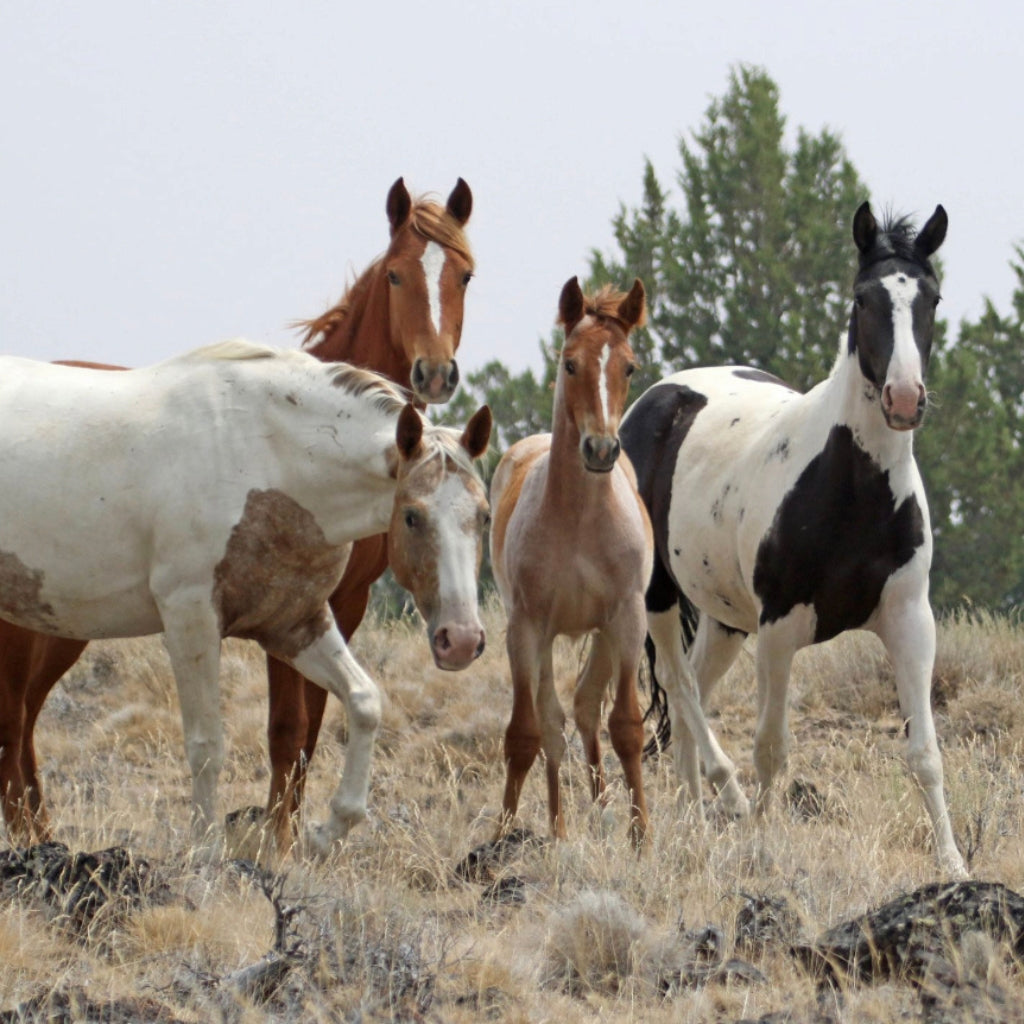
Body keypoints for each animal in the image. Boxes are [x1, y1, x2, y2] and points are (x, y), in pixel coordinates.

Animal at [0, 178, 475, 847]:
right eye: (411, 516)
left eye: (482, 516)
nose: (463, 640)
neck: (268, 455)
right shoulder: (191, 619)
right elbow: (210, 744)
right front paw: (207, 851)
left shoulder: (297, 620)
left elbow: (357, 705)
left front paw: (327, 829)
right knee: (12, 725)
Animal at [489, 276, 651, 843]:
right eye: (570, 363)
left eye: (629, 366)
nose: (600, 449)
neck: (580, 521)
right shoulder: (526, 627)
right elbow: (525, 734)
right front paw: (501, 838)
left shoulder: (627, 617)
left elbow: (625, 726)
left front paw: (641, 839)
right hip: (543, 640)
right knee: (554, 721)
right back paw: (560, 828)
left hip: (604, 634)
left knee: (582, 706)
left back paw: (601, 811)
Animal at [614, 203, 966, 876]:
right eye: (862, 298)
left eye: (932, 298)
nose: (904, 398)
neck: (852, 486)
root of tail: (656, 399)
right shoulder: (779, 629)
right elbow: (771, 747)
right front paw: (763, 845)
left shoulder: (910, 620)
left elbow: (926, 754)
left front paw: (955, 866)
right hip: (659, 596)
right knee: (681, 686)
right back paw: (723, 800)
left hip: (726, 621)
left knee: (693, 691)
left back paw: (693, 824)